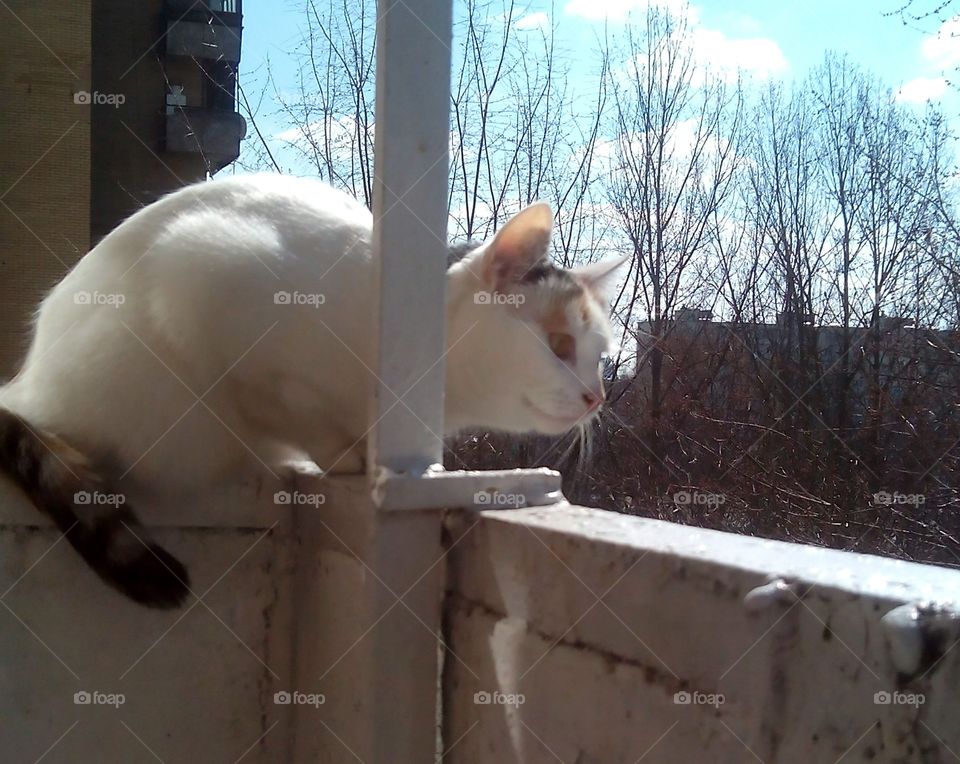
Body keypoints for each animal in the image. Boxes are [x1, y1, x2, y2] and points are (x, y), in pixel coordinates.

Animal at [0, 173, 628, 608]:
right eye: (558, 344)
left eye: (599, 356)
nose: (596, 398)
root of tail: (26, 387)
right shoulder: (214, 292)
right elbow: (289, 407)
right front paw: (344, 455)